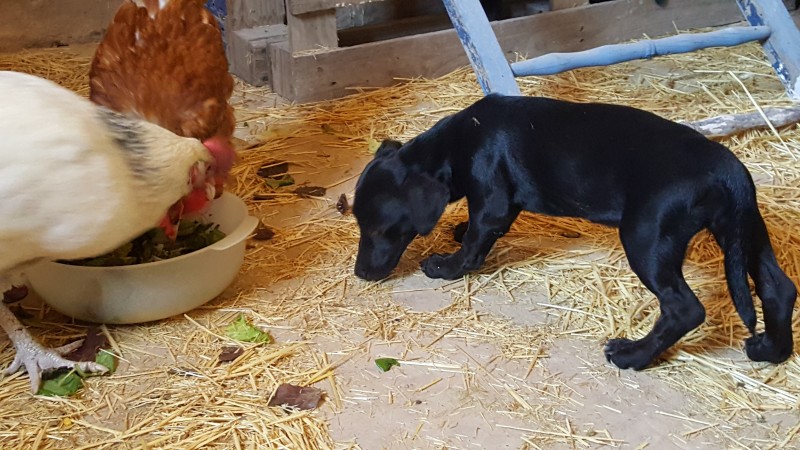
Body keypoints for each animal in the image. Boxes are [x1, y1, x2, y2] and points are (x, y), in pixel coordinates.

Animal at [352, 94, 797, 370]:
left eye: (377, 227)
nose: (359, 274)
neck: (454, 143)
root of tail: (729, 170)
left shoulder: (492, 203)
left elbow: (476, 244)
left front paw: (444, 266)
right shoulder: (503, 204)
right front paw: (458, 232)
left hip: (647, 236)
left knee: (685, 308)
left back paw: (632, 356)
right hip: (744, 232)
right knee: (779, 288)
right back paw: (771, 350)